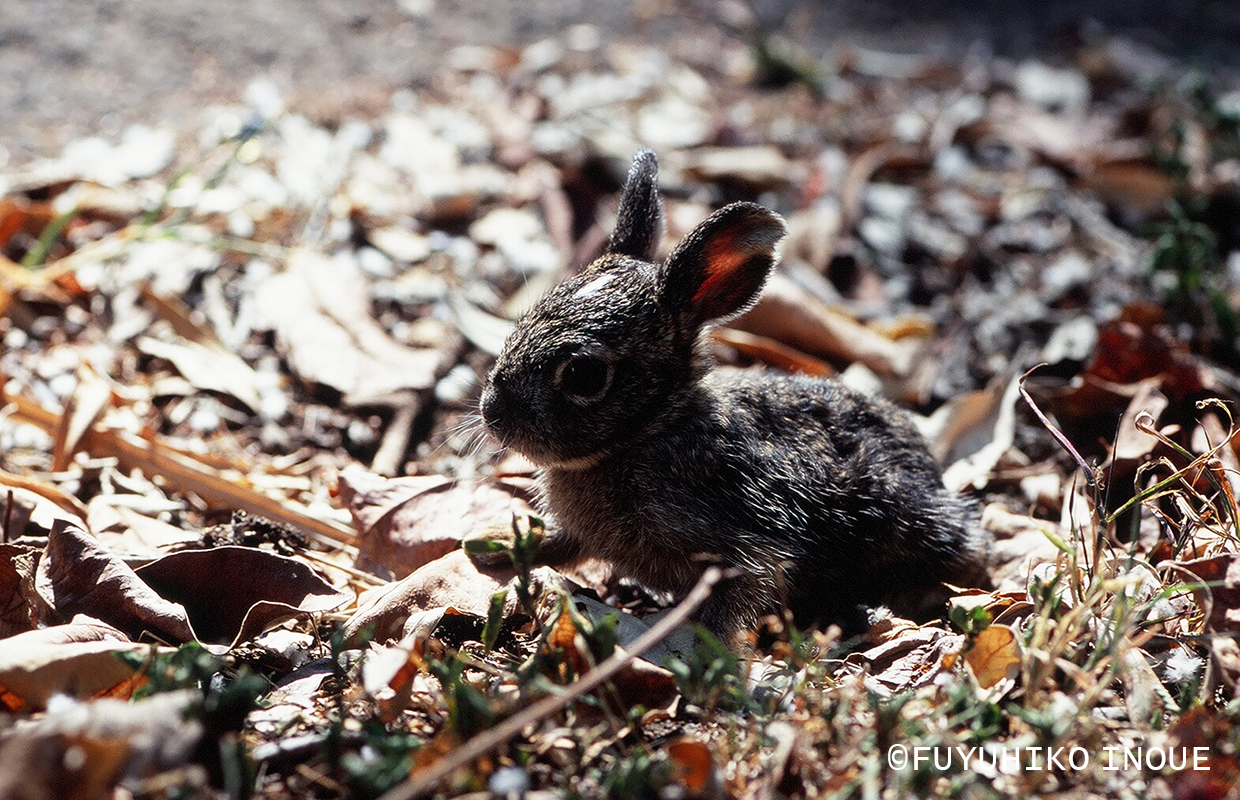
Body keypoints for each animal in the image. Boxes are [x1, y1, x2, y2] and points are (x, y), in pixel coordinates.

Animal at [478, 148, 992, 635]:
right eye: (522, 321)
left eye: (583, 374)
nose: (493, 413)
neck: (654, 427)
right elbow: (559, 546)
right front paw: (496, 547)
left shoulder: (747, 537)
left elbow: (739, 597)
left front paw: (710, 659)